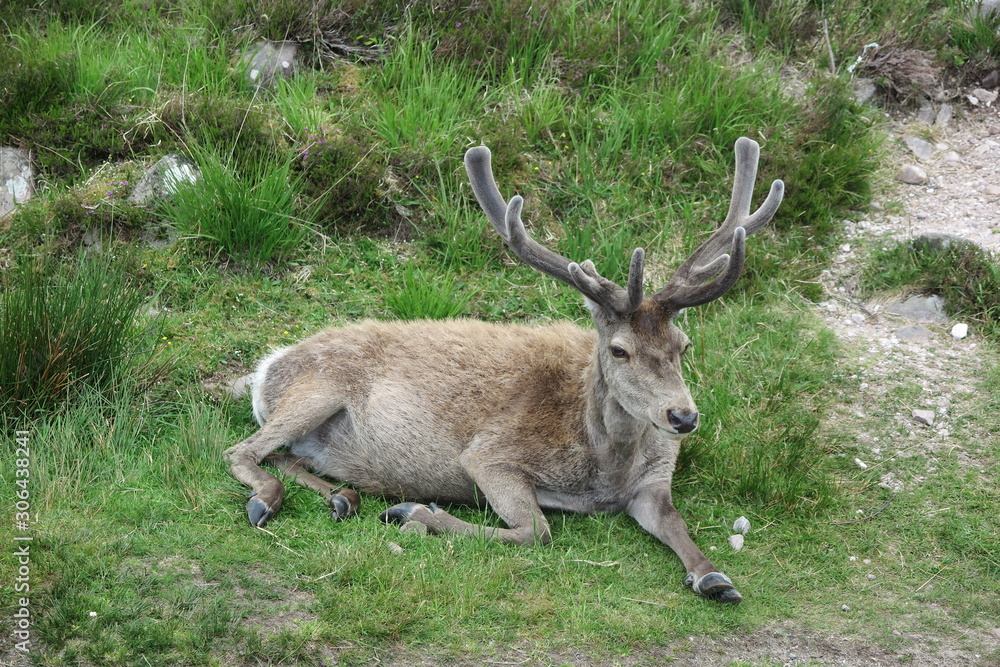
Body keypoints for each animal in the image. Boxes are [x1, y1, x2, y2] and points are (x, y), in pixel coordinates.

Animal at [224, 137, 784, 604]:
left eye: (683, 345)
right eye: (620, 350)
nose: (683, 418)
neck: (604, 471)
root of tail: (266, 367)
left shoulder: (655, 480)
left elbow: (677, 522)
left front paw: (714, 577)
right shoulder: (491, 456)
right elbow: (537, 530)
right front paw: (416, 513)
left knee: (285, 456)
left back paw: (343, 498)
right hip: (317, 387)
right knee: (242, 450)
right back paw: (270, 503)